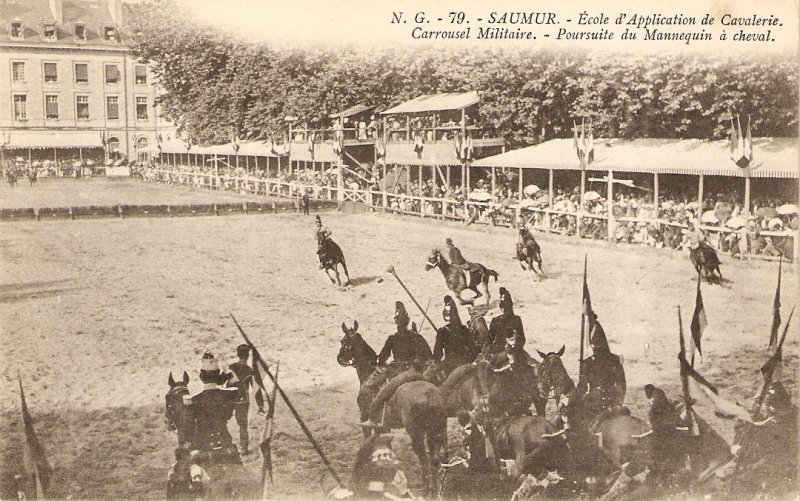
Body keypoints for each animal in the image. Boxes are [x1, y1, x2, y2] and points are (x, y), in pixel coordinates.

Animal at [336, 322, 450, 494]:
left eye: (343, 341)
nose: (339, 358)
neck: (370, 372)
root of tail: (430, 395)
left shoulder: (367, 419)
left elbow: (368, 440)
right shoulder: (384, 427)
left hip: (416, 434)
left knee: (424, 459)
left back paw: (426, 489)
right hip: (437, 429)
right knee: (435, 459)